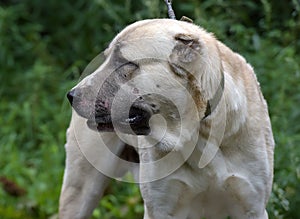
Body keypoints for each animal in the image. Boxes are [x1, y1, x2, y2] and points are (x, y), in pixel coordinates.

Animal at [58, 18, 274, 219]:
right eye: (106, 59)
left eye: (126, 63)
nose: (71, 96)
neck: (197, 131)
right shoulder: (161, 208)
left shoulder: (253, 208)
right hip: (81, 192)